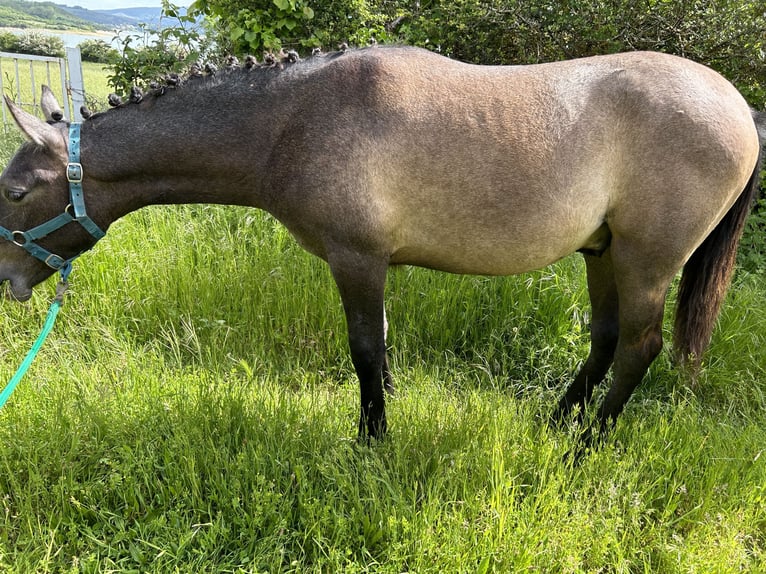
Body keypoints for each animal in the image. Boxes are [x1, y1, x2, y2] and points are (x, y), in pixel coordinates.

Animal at [0, 48, 764, 446]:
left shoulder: (357, 260)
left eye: (13, 192)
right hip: (602, 253)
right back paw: (552, 422)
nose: (7, 279)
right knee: (605, 341)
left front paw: (372, 441)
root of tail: (738, 106)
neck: (293, 119)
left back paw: (585, 444)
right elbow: (384, 347)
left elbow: (366, 351)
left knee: (639, 347)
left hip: (645, 261)